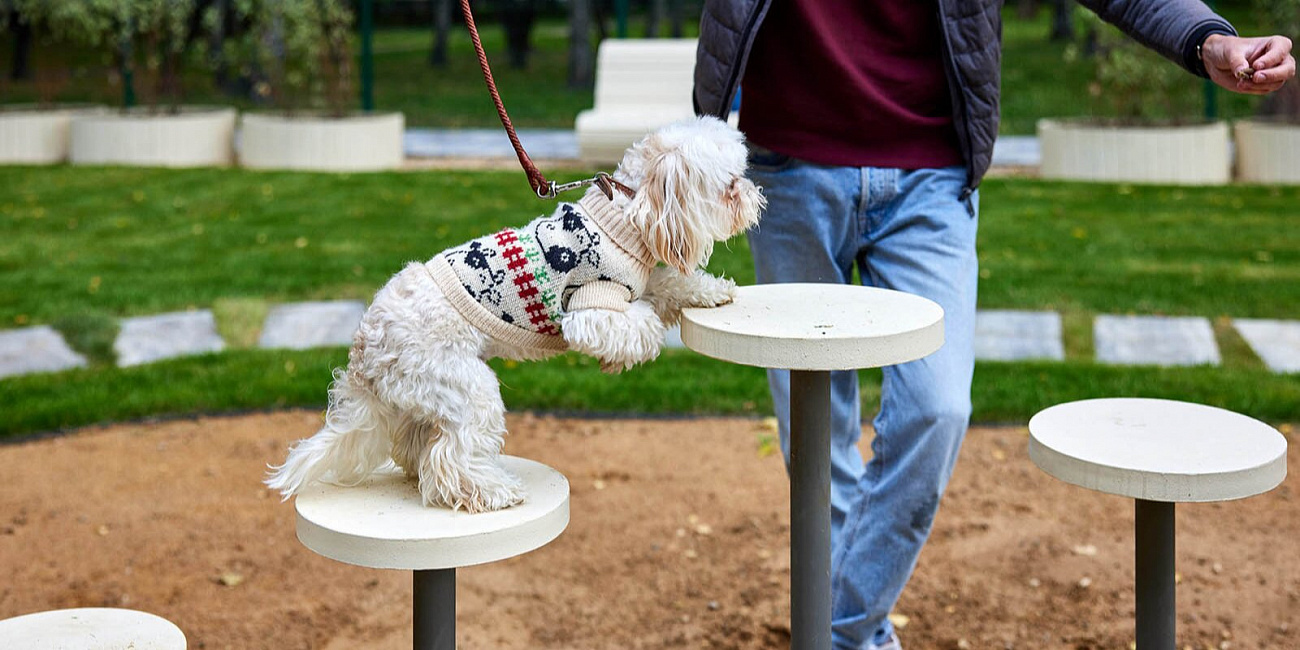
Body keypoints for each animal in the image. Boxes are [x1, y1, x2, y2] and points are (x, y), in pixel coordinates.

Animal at [267, 116, 764, 512]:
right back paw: (489, 492)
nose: (756, 196)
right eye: (730, 186)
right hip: (465, 386)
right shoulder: (589, 308)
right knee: (450, 458)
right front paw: (627, 352)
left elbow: (668, 285)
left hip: (423, 395)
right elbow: (638, 320)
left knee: (419, 446)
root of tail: (364, 348)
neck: (624, 217)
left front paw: (711, 291)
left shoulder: (642, 280)